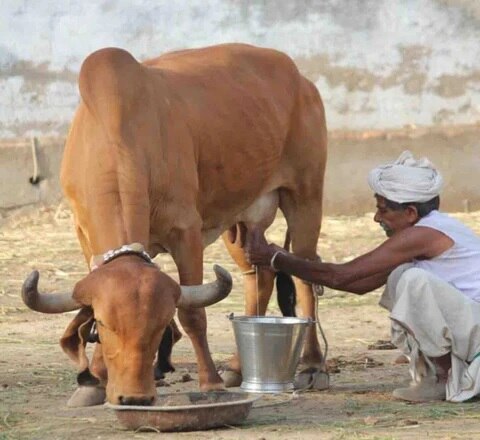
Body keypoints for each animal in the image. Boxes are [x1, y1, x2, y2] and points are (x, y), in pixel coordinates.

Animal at [19, 43, 326, 408]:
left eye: (160, 325)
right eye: (106, 325)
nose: (135, 397)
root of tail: (301, 79)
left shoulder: (186, 232)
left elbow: (193, 314)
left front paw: (211, 383)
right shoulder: (84, 233)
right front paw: (93, 381)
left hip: (305, 196)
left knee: (306, 274)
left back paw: (313, 366)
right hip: (237, 221)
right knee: (260, 276)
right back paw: (238, 367)